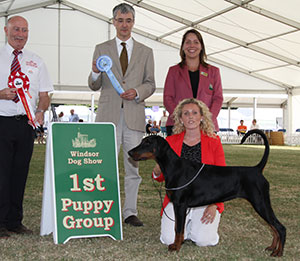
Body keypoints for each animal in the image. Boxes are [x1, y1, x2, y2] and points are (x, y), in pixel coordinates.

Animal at [128, 129, 286, 255]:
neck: (174, 167)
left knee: (280, 227)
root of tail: (257, 169)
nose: (129, 152)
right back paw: (272, 247)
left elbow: (178, 229)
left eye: (147, 142)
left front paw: (176, 247)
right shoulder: (178, 206)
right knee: (273, 228)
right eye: (143, 141)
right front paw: (177, 244)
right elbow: (176, 227)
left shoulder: (180, 205)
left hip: (260, 203)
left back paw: (278, 252)